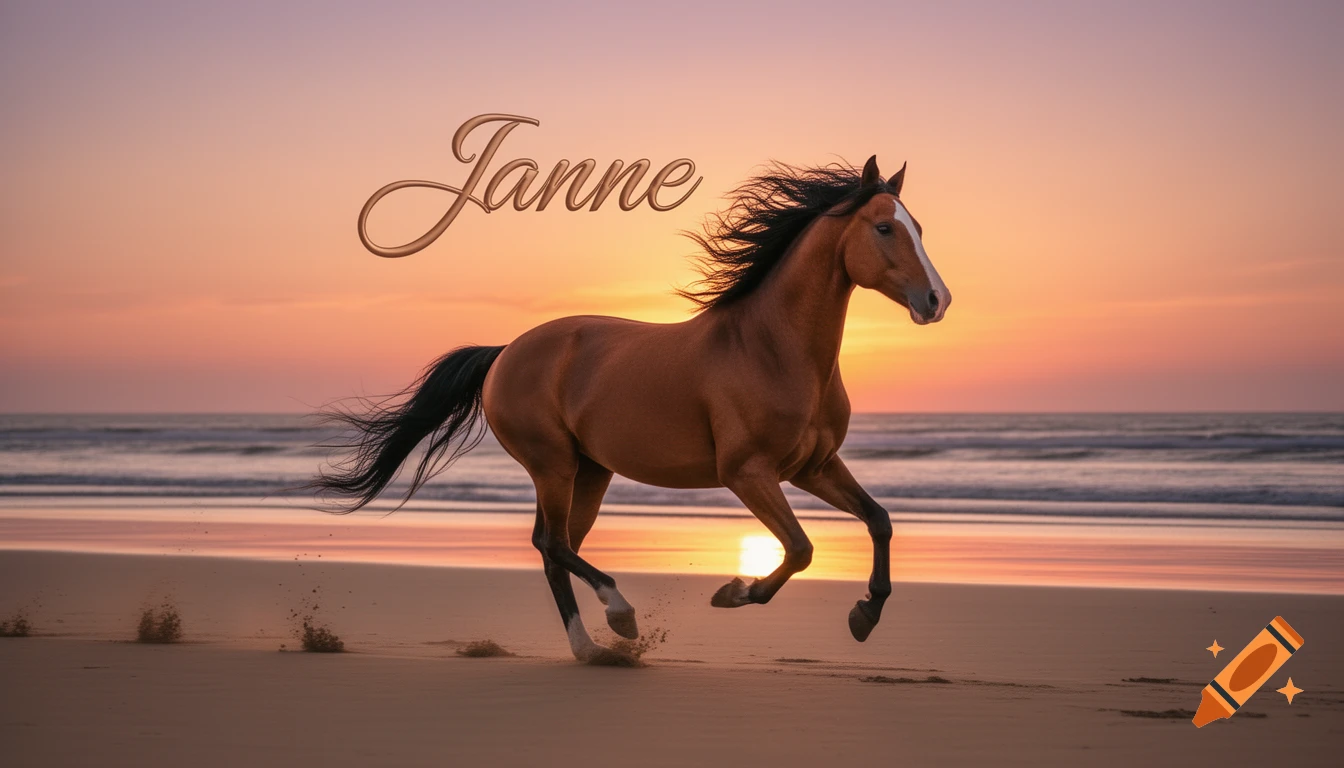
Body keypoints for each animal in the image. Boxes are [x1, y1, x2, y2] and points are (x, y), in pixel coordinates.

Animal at [310, 156, 950, 660]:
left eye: (918, 226)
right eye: (885, 227)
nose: (936, 300)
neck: (771, 349)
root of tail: (506, 352)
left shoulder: (812, 467)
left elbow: (879, 520)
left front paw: (864, 617)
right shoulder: (748, 473)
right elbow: (800, 548)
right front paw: (734, 592)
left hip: (590, 471)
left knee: (556, 548)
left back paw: (591, 647)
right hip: (553, 465)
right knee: (554, 545)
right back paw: (617, 617)